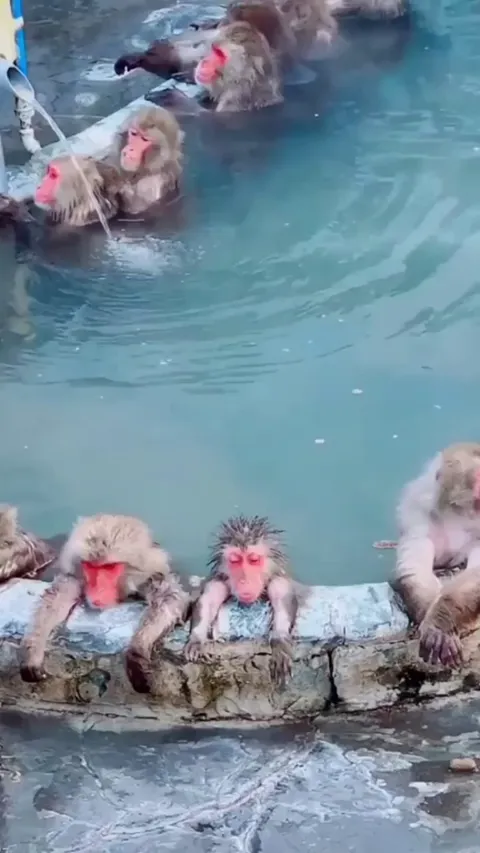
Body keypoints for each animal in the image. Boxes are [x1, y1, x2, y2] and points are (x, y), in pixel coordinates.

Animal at [19, 513, 190, 694]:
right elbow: (58, 595)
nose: (97, 589)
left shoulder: (152, 577)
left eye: (110, 567)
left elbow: (171, 597)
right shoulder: (76, 576)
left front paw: (137, 649)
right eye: (90, 566)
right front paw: (33, 650)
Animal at [184, 515, 305, 685]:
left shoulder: (278, 579)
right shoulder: (220, 580)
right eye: (235, 561)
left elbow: (282, 596)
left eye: (253, 560)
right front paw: (196, 639)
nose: (244, 580)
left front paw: (280, 641)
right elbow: (208, 600)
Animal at [393, 442, 480, 670]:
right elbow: (414, 570)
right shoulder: (418, 515)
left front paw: (438, 623)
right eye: (478, 476)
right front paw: (433, 621)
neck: (456, 514)